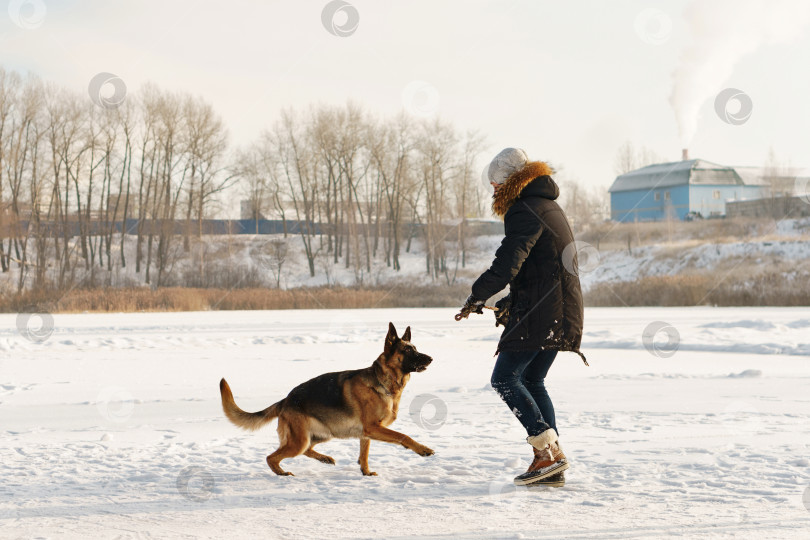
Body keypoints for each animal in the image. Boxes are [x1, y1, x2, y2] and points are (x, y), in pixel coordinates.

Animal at [221, 322, 432, 474]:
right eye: (407, 350)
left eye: (415, 347)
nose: (430, 358)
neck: (383, 382)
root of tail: (286, 400)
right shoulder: (373, 427)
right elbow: (403, 436)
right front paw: (422, 449)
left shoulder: (367, 433)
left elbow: (364, 454)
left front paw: (366, 472)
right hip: (300, 441)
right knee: (271, 457)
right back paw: (282, 473)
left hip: (322, 434)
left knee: (305, 450)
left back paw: (325, 458)